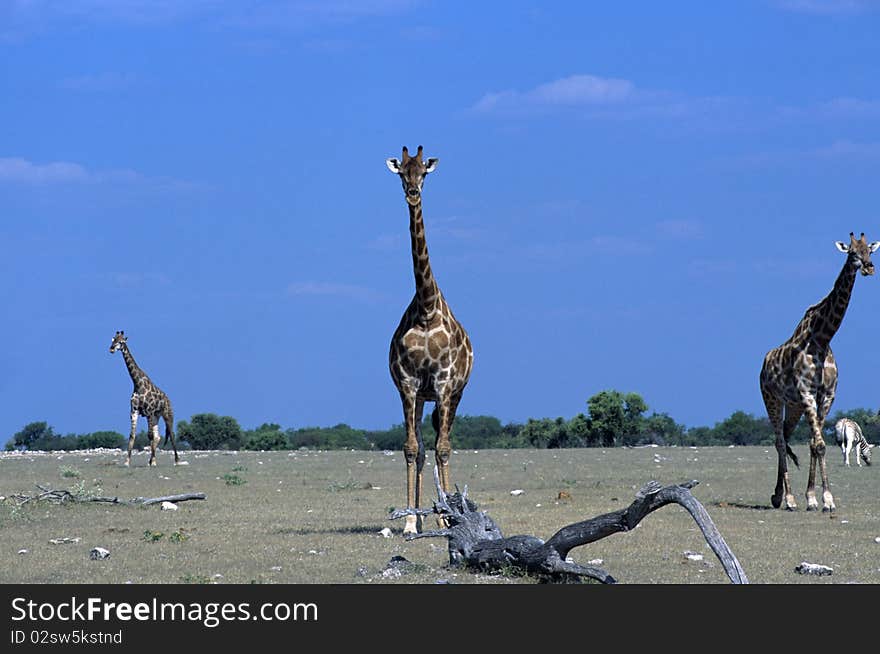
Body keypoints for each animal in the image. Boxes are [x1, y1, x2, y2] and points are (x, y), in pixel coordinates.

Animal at [109, 330, 179, 468]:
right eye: (113, 339)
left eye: (121, 342)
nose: (111, 349)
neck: (137, 384)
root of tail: (168, 399)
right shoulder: (134, 411)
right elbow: (132, 436)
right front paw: (127, 462)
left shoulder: (149, 412)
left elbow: (149, 435)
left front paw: (152, 462)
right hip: (157, 416)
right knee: (158, 436)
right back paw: (153, 460)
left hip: (167, 414)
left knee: (170, 434)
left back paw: (176, 460)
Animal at [760, 233, 876, 516]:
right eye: (852, 253)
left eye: (870, 251)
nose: (869, 268)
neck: (823, 339)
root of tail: (763, 363)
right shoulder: (807, 393)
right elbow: (821, 445)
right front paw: (822, 500)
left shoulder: (827, 395)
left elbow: (815, 445)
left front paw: (816, 498)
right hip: (772, 399)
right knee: (779, 442)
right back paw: (789, 500)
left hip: (792, 406)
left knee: (785, 438)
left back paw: (778, 496)